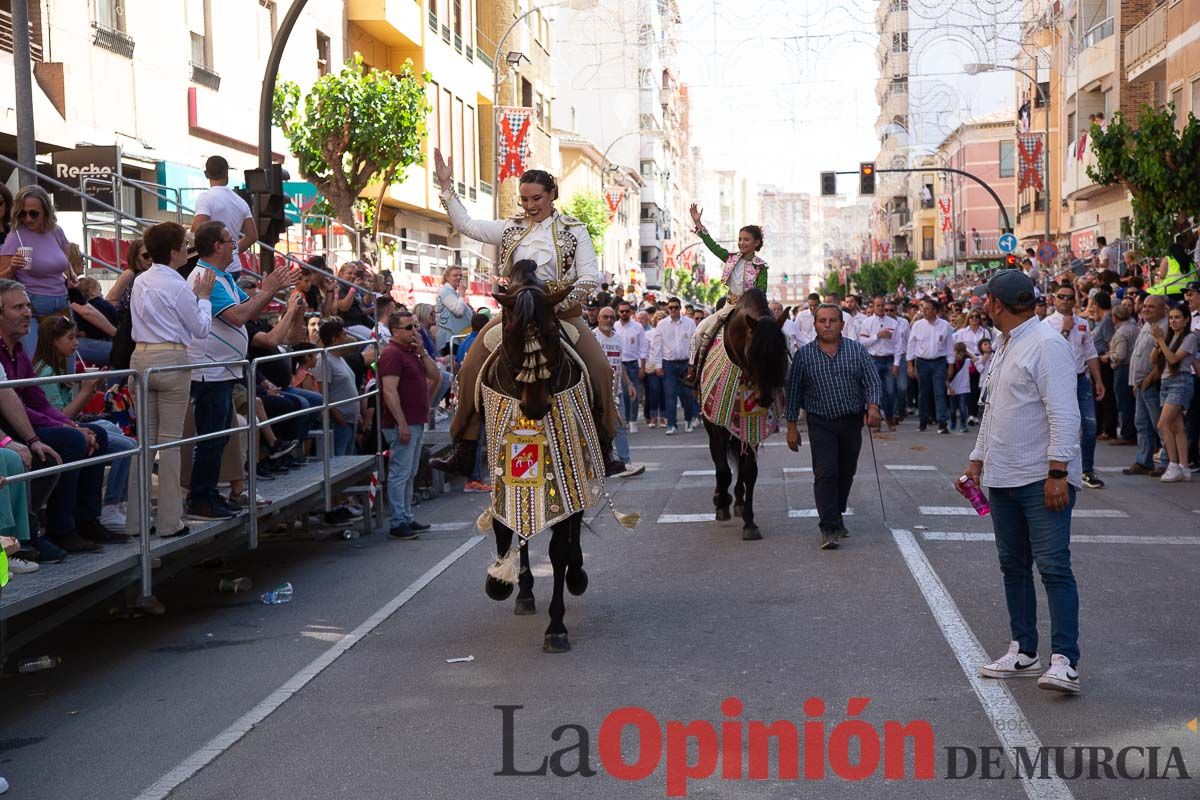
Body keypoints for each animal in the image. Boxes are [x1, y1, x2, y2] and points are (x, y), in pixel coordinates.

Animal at [477, 260, 590, 652]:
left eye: (553, 333)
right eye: (512, 334)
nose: (537, 406)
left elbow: (558, 547)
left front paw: (556, 627)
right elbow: (504, 523)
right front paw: (499, 582)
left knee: (573, 527)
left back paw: (577, 574)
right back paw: (524, 591)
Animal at [700, 291, 792, 542]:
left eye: (781, 353)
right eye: (754, 353)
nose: (764, 399)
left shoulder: (752, 424)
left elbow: (749, 471)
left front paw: (750, 522)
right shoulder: (715, 423)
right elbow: (722, 468)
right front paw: (721, 502)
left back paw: (739, 502)